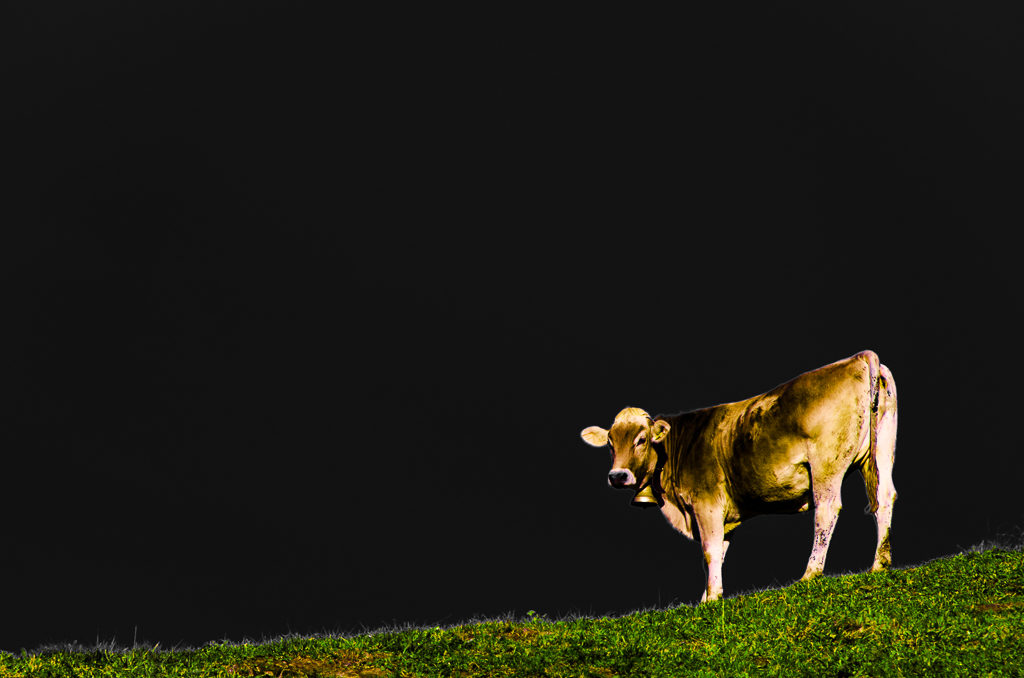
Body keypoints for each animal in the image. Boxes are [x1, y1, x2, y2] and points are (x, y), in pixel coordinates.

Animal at [580, 350, 897, 602]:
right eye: (610, 443)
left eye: (642, 440)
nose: (618, 475)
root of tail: (856, 358)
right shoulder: (723, 514)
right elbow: (719, 552)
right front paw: (707, 597)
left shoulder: (706, 503)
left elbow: (709, 550)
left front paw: (712, 599)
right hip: (881, 451)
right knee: (884, 498)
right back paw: (879, 564)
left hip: (826, 465)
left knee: (827, 510)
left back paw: (811, 573)